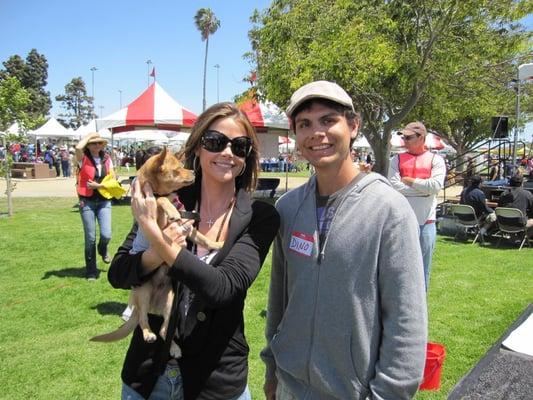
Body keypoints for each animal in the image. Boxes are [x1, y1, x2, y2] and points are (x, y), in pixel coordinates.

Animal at [91, 148, 222, 356]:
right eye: (177, 169)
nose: (194, 172)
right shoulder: (159, 223)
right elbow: (159, 200)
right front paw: (170, 209)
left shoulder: (188, 227)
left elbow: (203, 237)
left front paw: (217, 244)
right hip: (143, 293)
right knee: (143, 320)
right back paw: (148, 334)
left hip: (170, 302)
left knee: (163, 329)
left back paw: (174, 348)